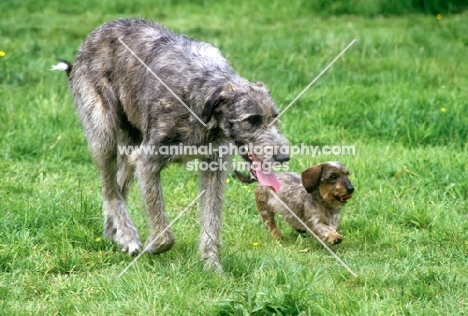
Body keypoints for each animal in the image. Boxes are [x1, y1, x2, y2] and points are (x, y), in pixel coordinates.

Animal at [54, 17, 288, 272]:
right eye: (252, 120)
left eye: (275, 117)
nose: (283, 157)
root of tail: (94, 35)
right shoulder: (148, 161)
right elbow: (164, 230)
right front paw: (153, 246)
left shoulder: (214, 168)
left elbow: (211, 219)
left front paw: (212, 267)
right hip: (103, 133)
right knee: (109, 190)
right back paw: (127, 235)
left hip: (130, 145)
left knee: (119, 184)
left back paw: (113, 233)